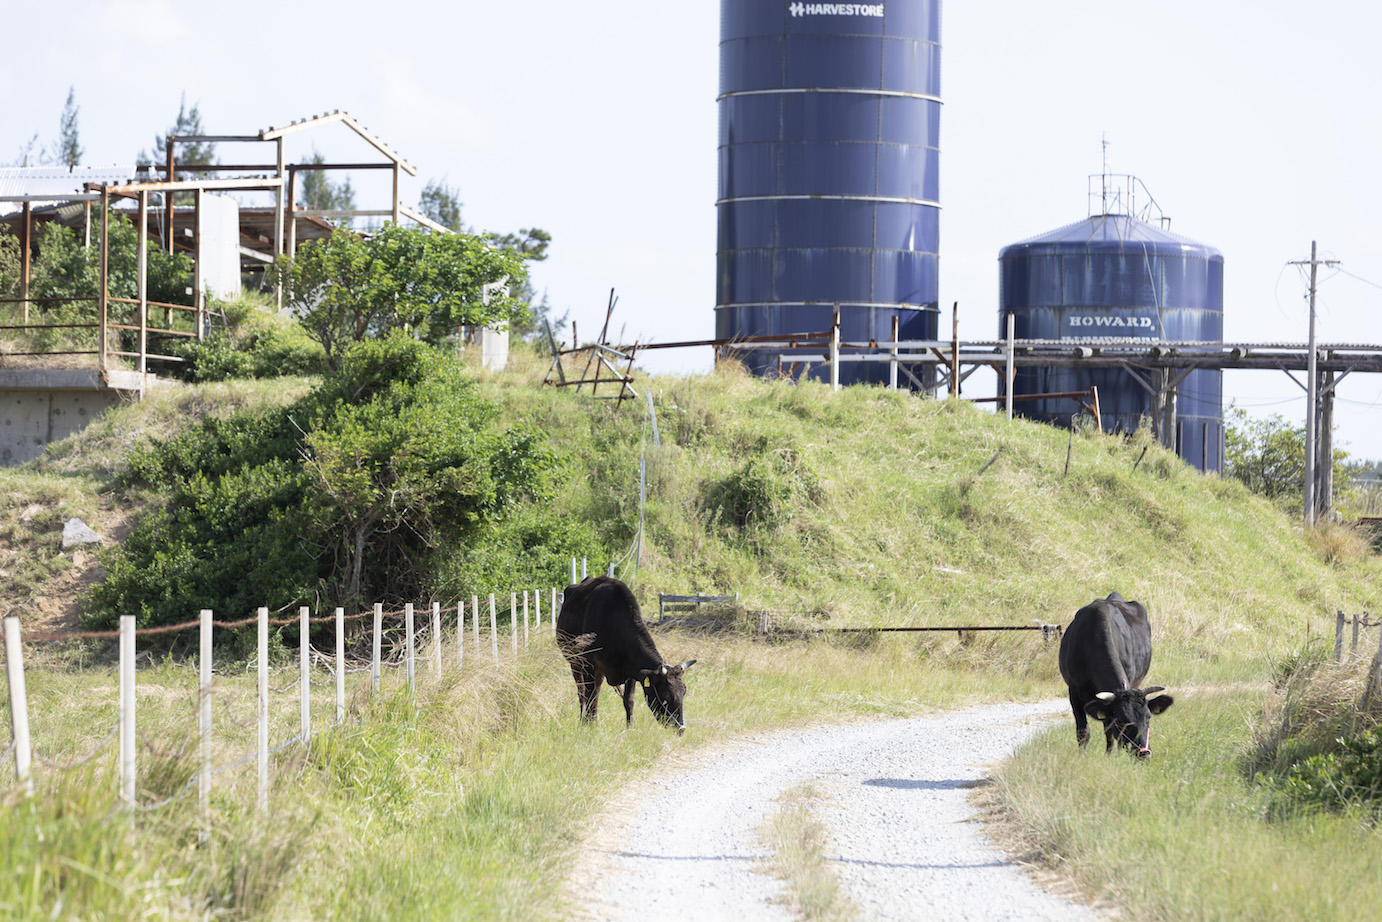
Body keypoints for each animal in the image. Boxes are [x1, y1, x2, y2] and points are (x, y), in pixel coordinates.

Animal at [556, 576, 697, 734]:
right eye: (666, 695)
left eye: (684, 692)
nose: (681, 729)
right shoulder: (589, 664)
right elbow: (590, 696)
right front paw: (590, 726)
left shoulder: (633, 671)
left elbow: (628, 700)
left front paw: (630, 728)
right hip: (574, 662)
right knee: (582, 693)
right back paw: (584, 720)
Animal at [1058, 592, 1174, 758]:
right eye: (1122, 721)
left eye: (1149, 717)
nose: (1144, 752)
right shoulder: (1073, 691)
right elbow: (1083, 732)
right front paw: (1082, 756)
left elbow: (1110, 731)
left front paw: (1114, 756)